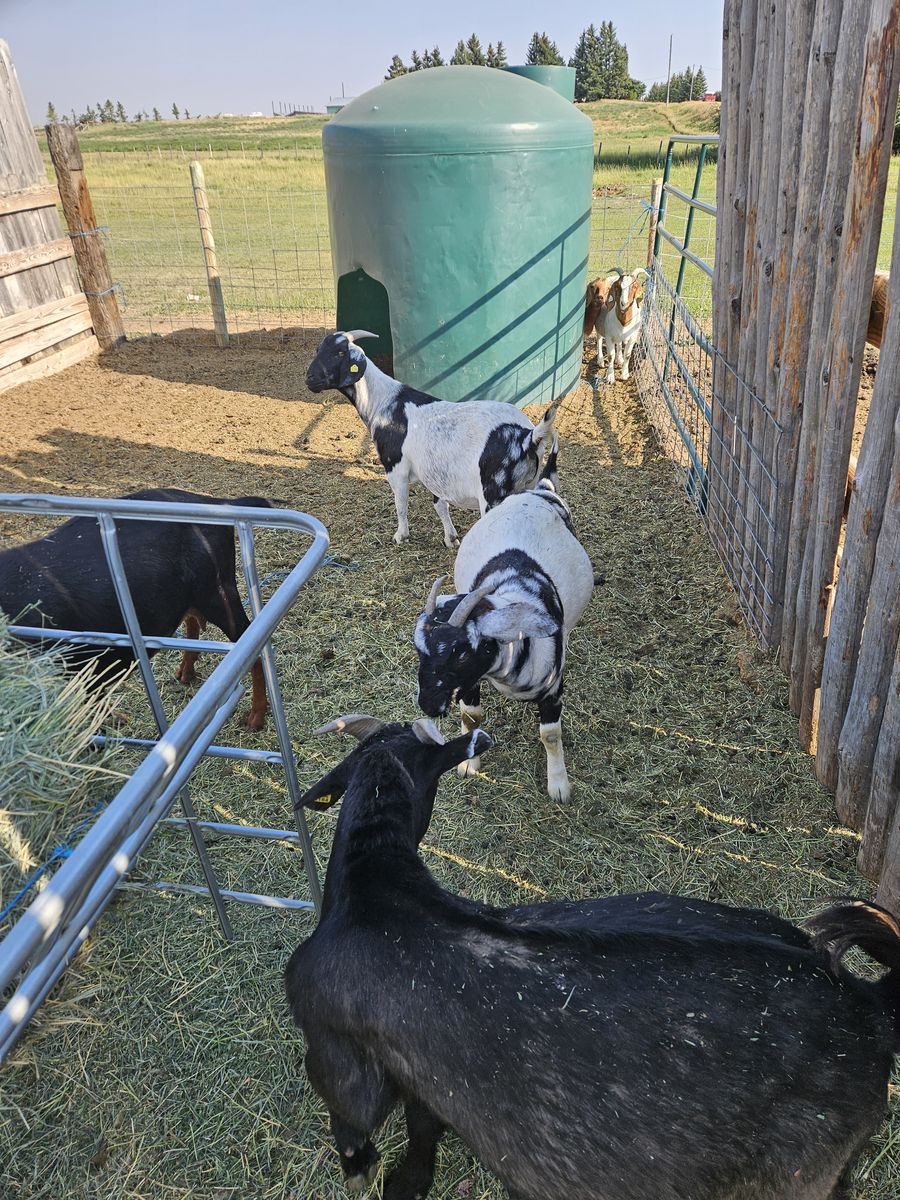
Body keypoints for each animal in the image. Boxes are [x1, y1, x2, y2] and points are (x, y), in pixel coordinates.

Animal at [0, 488, 272, 730]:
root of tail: (217, 502)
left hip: (219, 590)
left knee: (251, 643)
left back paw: (254, 721)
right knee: (194, 620)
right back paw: (183, 675)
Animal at [286, 715, 900, 1200]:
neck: (378, 881)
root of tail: (867, 1002)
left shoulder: (339, 1059)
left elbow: (353, 1119)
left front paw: (363, 1170)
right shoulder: (421, 1072)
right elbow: (423, 1131)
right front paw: (408, 1184)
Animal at [305, 331, 556, 549]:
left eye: (339, 353)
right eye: (318, 349)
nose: (309, 379)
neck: (383, 402)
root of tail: (528, 436)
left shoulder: (395, 467)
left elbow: (401, 504)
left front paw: (401, 536)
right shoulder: (434, 472)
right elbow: (440, 504)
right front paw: (451, 538)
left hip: (493, 494)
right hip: (529, 486)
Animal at [414, 460, 594, 801]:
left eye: (461, 653)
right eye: (419, 651)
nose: (428, 704)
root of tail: (538, 491)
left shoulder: (553, 690)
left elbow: (551, 734)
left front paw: (559, 786)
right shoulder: (470, 682)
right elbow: (471, 717)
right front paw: (469, 764)